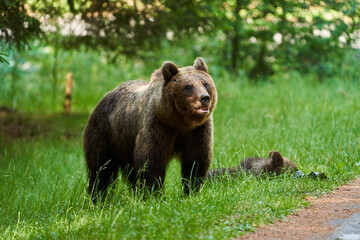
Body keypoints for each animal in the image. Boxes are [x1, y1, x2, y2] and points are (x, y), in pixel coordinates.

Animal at [83, 57, 217, 200]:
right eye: (188, 86)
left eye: (205, 83)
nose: (204, 98)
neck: (180, 123)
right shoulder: (158, 126)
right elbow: (151, 161)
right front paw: (155, 195)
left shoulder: (197, 131)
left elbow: (196, 161)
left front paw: (191, 192)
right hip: (105, 133)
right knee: (101, 168)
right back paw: (97, 197)